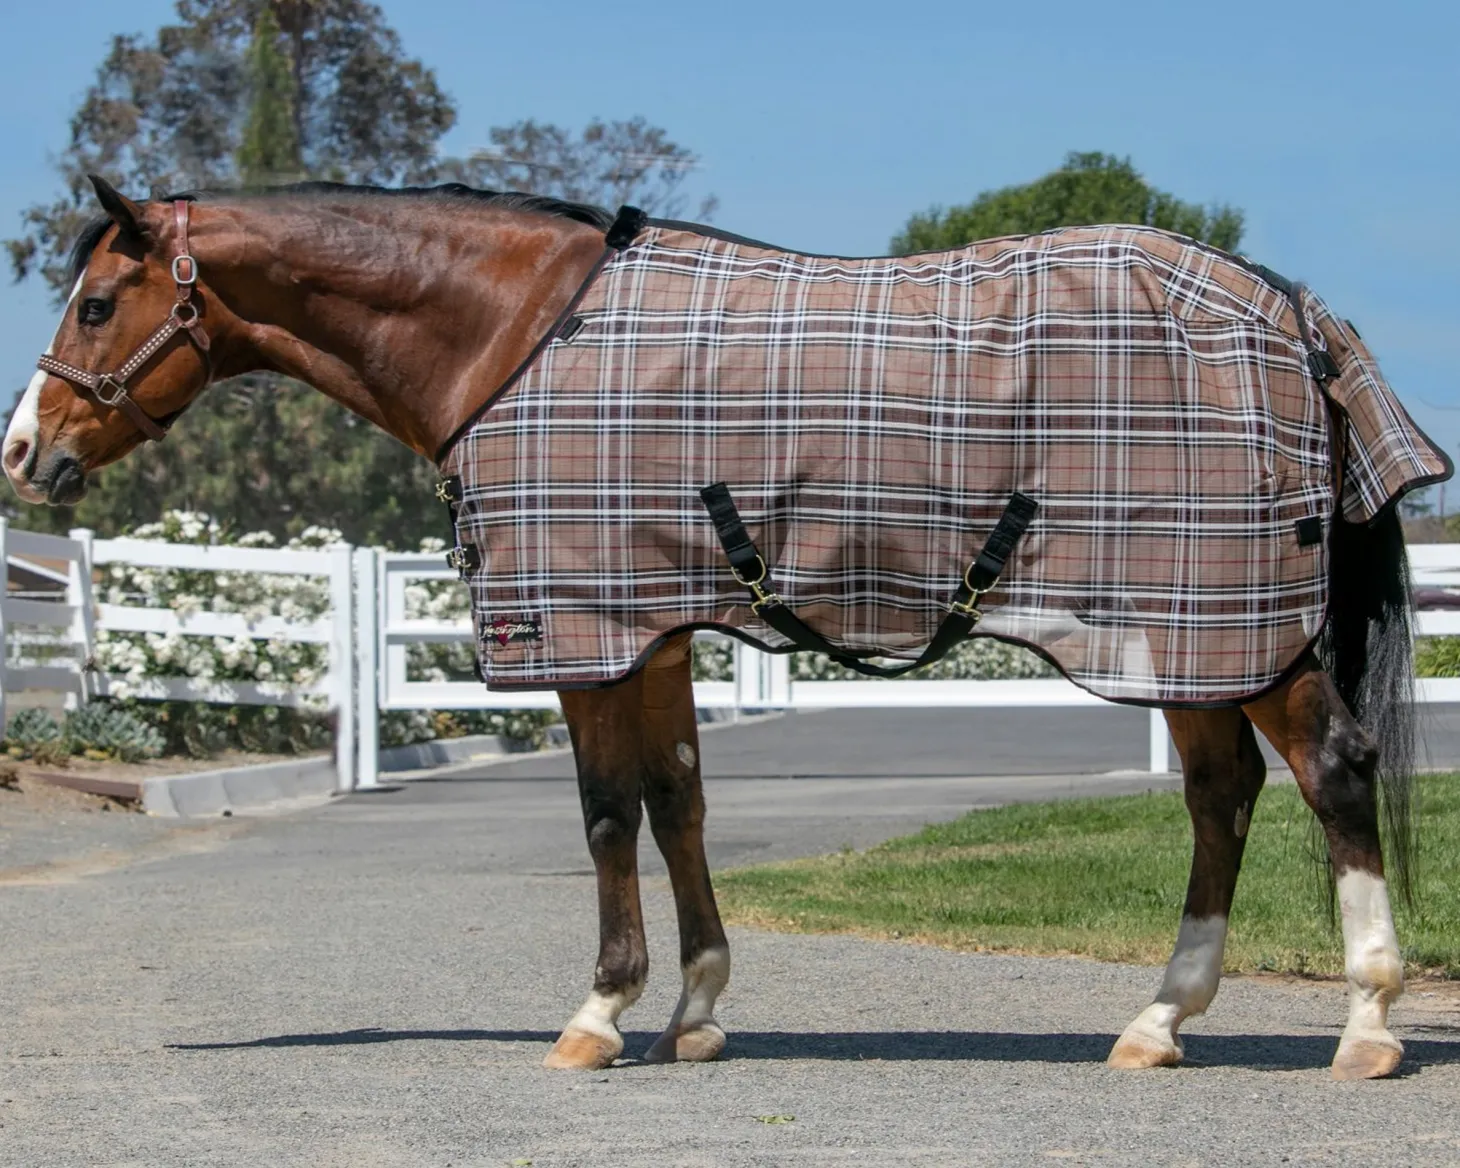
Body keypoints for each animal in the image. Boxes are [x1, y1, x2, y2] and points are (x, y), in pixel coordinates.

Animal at [4, 176, 1446, 1081]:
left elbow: (605, 814)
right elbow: (678, 800)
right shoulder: (651, 628)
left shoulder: (583, 631)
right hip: (1193, 634)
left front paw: (597, 1014)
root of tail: (1288, 307)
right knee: (1223, 795)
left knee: (1330, 772)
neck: (516, 337)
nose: (24, 452)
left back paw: (1366, 1026)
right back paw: (1156, 1019)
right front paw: (694, 1012)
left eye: (95, 304)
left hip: (1223, 627)